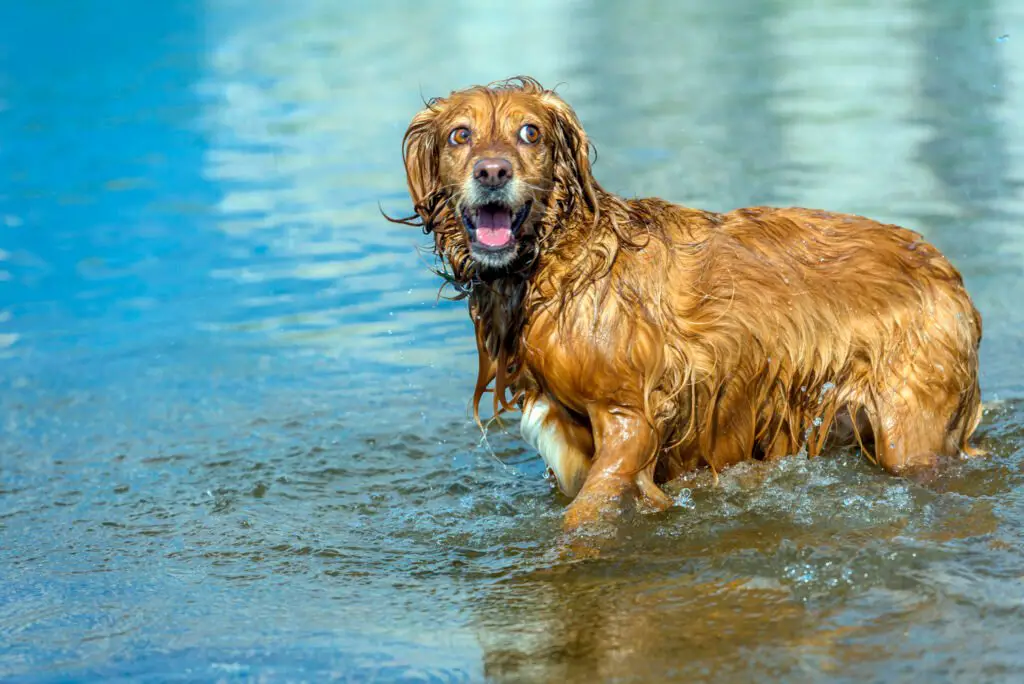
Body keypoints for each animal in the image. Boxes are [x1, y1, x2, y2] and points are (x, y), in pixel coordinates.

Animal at [385, 76, 983, 528]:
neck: (557, 265)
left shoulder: (630, 418)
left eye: (529, 133)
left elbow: (583, 517)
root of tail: (945, 270)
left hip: (910, 428)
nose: (492, 171)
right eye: (460, 134)